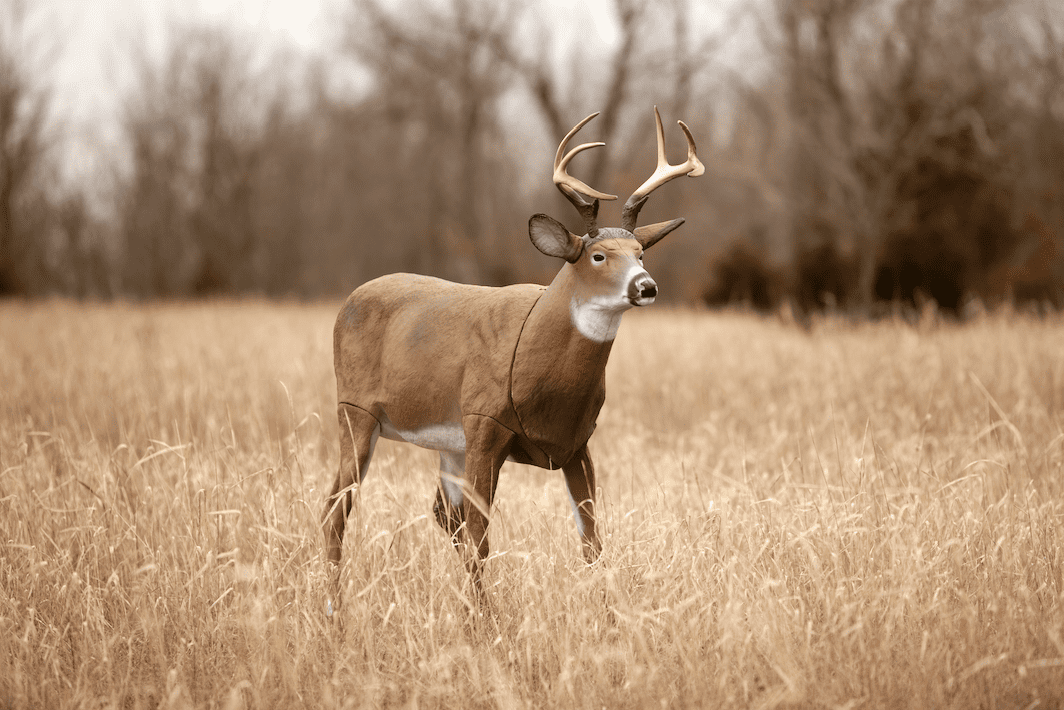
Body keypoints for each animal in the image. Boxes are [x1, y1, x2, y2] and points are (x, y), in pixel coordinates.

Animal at [323, 107, 703, 611]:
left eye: (640, 252)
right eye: (599, 256)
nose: (647, 286)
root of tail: (348, 301)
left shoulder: (576, 443)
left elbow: (592, 538)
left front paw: (606, 611)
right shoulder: (486, 424)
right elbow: (482, 535)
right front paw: (483, 619)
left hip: (448, 442)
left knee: (440, 515)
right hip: (356, 410)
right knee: (336, 509)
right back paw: (334, 609)